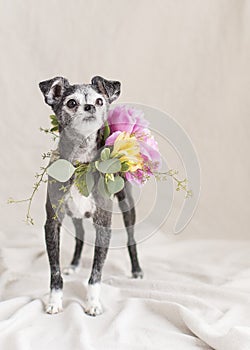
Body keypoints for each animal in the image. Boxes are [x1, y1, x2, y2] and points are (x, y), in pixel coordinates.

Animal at [38, 76, 143, 318]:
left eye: (99, 100)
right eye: (71, 103)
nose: (90, 107)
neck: (80, 163)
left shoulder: (103, 224)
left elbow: (96, 273)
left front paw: (93, 303)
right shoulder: (52, 223)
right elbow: (54, 271)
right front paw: (55, 301)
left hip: (127, 207)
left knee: (131, 239)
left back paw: (136, 269)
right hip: (74, 214)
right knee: (79, 235)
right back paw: (74, 264)